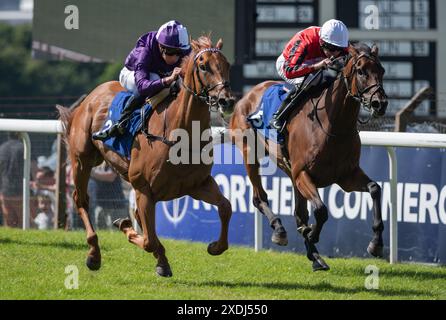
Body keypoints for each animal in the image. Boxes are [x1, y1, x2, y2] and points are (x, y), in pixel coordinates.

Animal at [58, 35, 235, 278]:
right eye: (203, 66)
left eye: (227, 65)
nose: (227, 100)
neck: (179, 134)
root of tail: (90, 97)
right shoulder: (144, 189)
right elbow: (149, 240)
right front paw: (126, 228)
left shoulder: (198, 184)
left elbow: (226, 207)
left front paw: (215, 246)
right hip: (81, 160)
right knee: (81, 199)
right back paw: (94, 254)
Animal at [228, 42, 388, 272]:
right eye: (361, 71)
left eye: (381, 70)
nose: (380, 103)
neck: (332, 125)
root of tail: (246, 96)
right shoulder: (303, 173)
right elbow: (321, 210)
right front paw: (311, 233)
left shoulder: (346, 176)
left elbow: (375, 188)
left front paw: (376, 244)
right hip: (250, 153)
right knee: (259, 198)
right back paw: (280, 230)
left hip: (290, 171)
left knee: (299, 213)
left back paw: (315, 256)